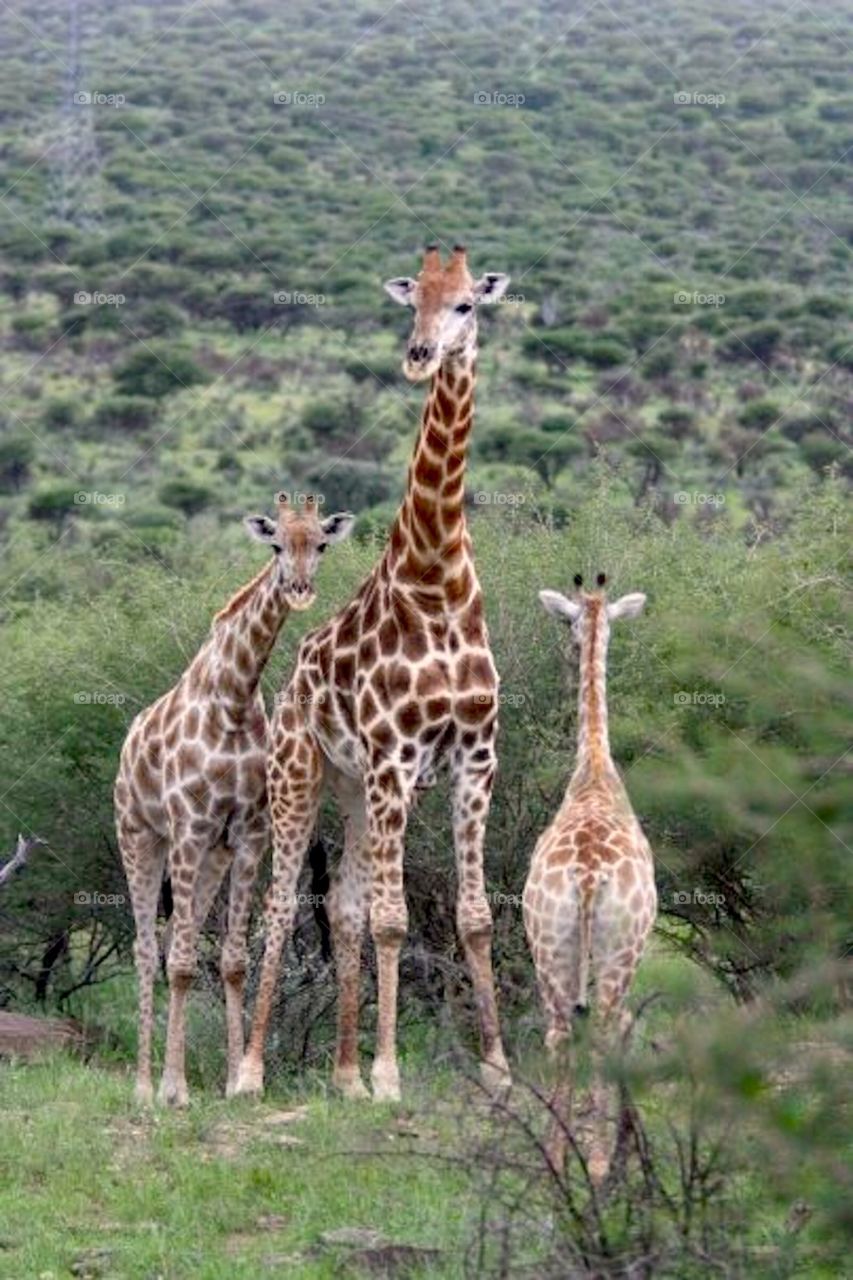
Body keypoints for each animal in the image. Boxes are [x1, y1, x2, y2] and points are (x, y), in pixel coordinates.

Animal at [114, 493, 354, 1106]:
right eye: (276, 546)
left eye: (321, 543)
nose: (299, 589)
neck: (234, 698)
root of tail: (127, 745)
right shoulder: (189, 824)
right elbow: (179, 964)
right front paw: (175, 1090)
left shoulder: (247, 833)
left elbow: (232, 961)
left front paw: (231, 1079)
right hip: (141, 835)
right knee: (147, 949)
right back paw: (144, 1086)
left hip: (211, 856)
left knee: (175, 936)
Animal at [234, 244, 512, 1103]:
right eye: (409, 300)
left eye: (465, 303)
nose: (418, 356)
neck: (437, 580)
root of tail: (288, 682)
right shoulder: (396, 758)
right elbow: (395, 920)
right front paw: (392, 1073)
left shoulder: (474, 758)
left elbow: (473, 915)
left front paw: (497, 1068)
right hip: (302, 776)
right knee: (283, 907)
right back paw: (250, 1071)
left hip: (354, 789)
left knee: (346, 907)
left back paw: (343, 1075)